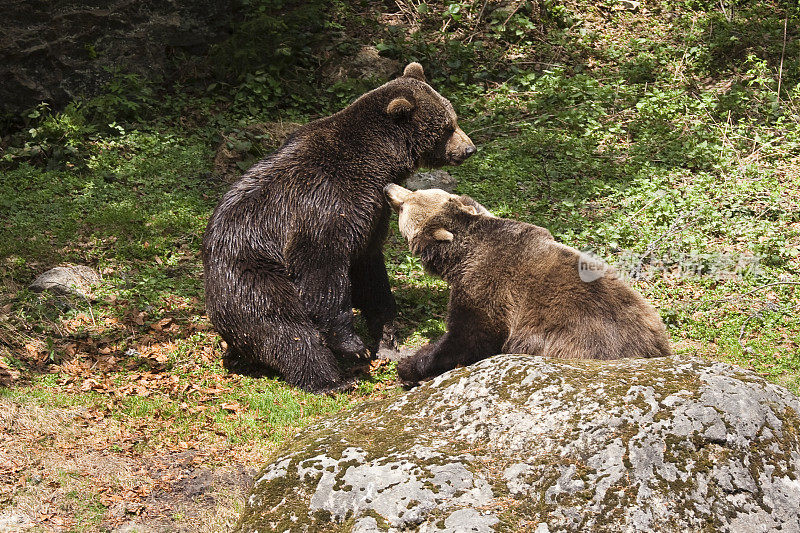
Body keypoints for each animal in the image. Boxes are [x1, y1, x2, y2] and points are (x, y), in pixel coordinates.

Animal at [203, 64, 476, 392]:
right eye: (447, 127)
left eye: (453, 118)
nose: (469, 148)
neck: (378, 161)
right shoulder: (325, 205)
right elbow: (322, 271)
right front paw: (353, 344)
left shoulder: (372, 213)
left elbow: (370, 272)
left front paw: (388, 339)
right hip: (253, 274)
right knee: (283, 327)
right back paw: (332, 380)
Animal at [384, 184, 672, 382]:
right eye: (414, 191)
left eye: (406, 203)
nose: (389, 188)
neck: (462, 254)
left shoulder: (486, 286)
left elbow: (469, 336)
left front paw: (409, 365)